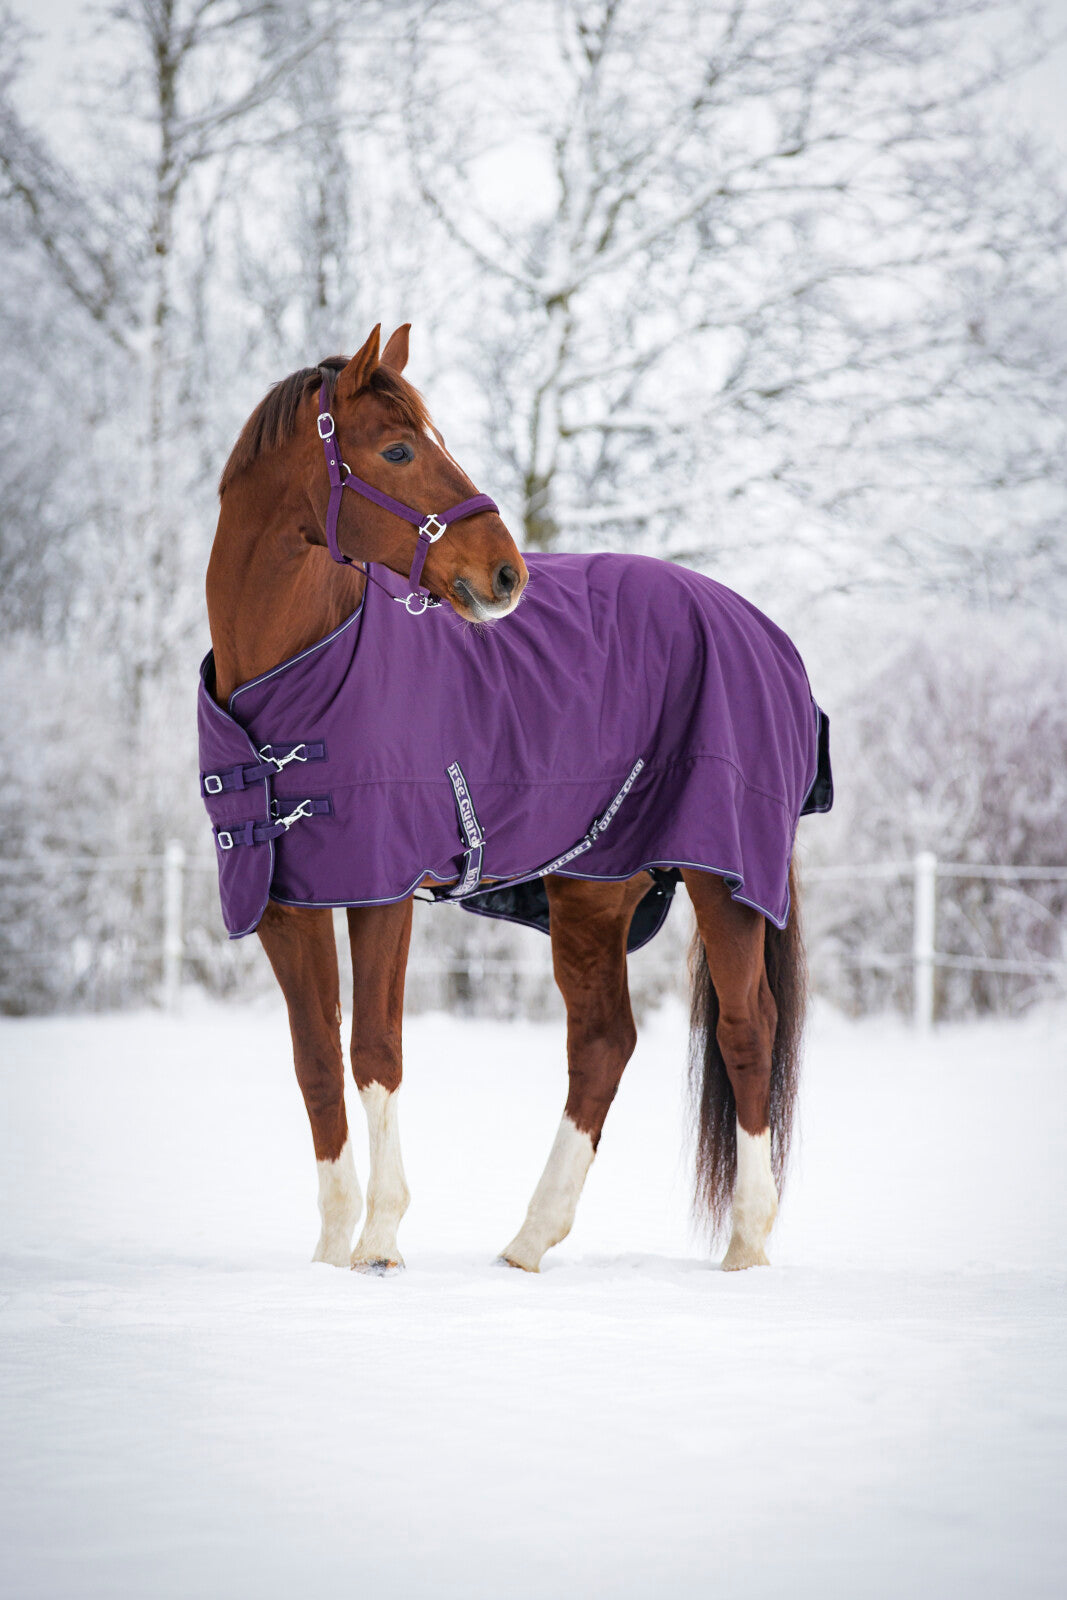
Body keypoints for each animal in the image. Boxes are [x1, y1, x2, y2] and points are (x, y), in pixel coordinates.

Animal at [203, 322, 828, 1274]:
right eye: (397, 449)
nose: (506, 574)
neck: (296, 678)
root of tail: (770, 638)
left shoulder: (382, 890)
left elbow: (373, 1050)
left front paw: (379, 1242)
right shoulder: (284, 902)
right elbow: (316, 1060)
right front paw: (331, 1252)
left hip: (725, 876)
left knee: (745, 1029)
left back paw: (746, 1246)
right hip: (593, 889)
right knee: (602, 1041)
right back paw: (530, 1241)